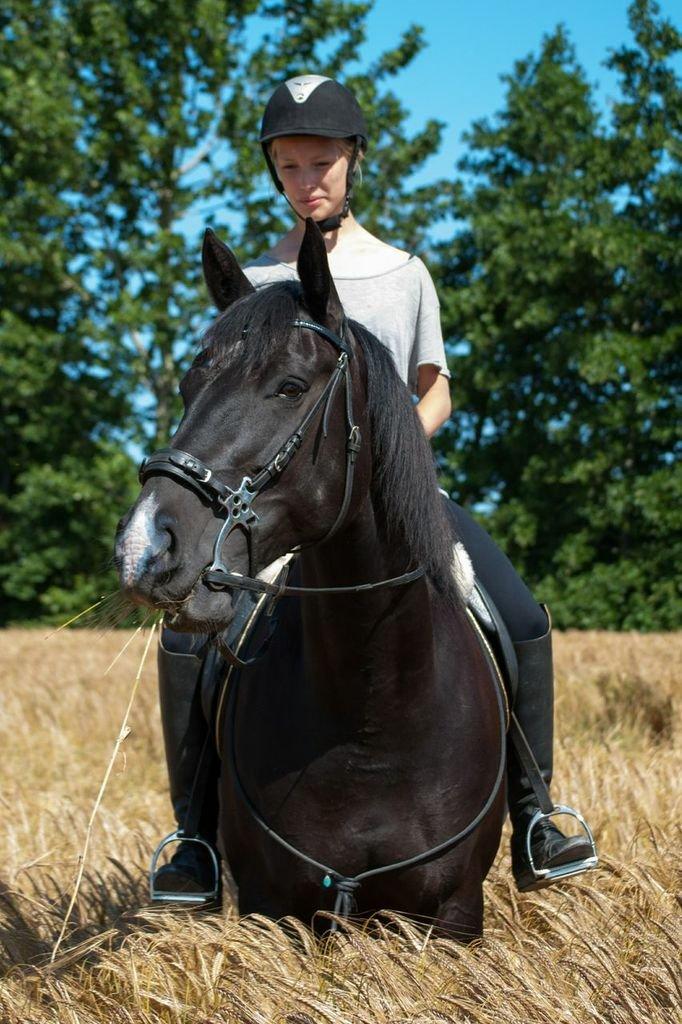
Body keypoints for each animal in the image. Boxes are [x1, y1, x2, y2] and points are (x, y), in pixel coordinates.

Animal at [116, 220, 503, 937]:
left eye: (290, 387)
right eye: (187, 387)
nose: (143, 547)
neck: (373, 714)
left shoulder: (455, 914)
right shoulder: (273, 908)